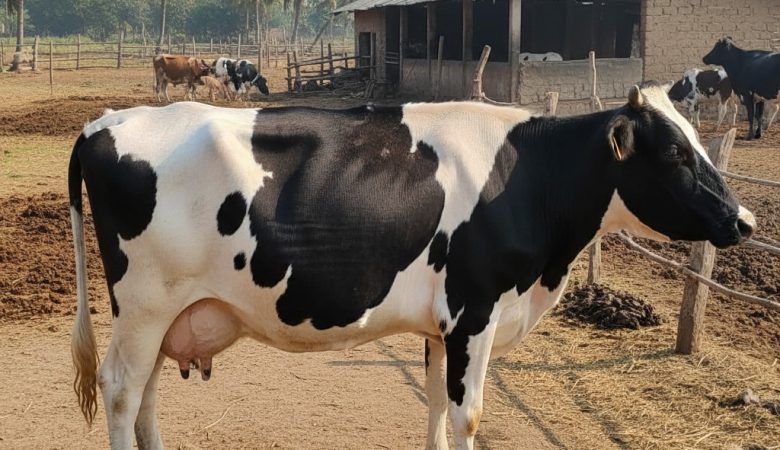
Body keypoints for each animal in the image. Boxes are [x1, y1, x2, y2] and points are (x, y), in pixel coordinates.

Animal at [69, 83, 755, 449]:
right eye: (673, 152)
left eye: (697, 139)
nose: (745, 220)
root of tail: (107, 120)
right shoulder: (475, 311)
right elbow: (467, 412)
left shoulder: (441, 325)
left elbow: (433, 403)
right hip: (144, 306)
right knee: (121, 389)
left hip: (169, 315)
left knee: (147, 394)